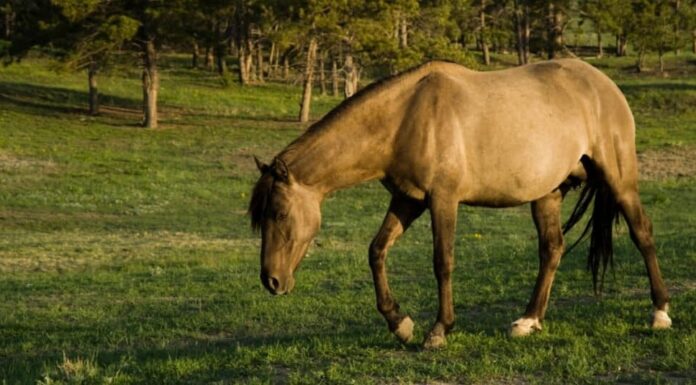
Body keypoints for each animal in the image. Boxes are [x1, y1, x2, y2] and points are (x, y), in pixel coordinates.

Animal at [247, 57, 672, 348]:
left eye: (279, 213)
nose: (272, 281)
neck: (406, 117)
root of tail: (603, 83)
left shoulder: (443, 200)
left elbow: (443, 261)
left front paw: (438, 330)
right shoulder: (408, 199)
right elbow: (377, 251)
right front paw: (399, 323)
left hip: (619, 180)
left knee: (643, 233)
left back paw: (660, 312)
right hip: (547, 194)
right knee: (552, 249)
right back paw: (528, 321)